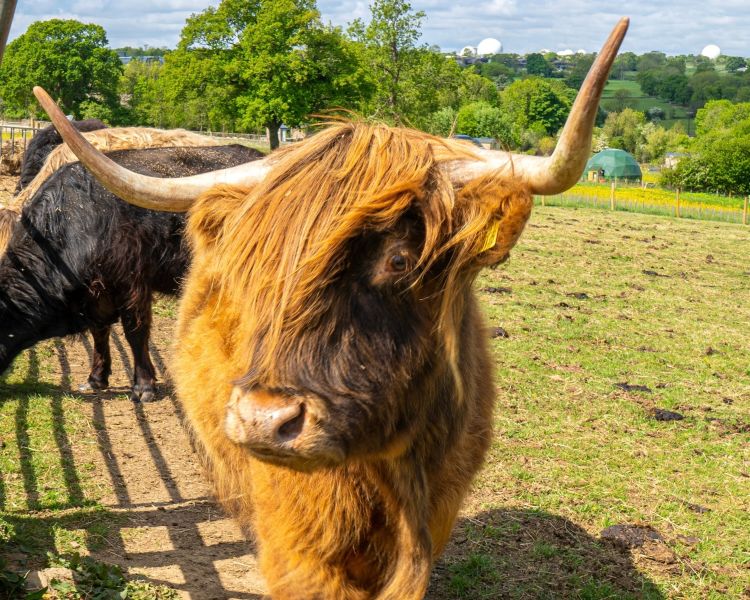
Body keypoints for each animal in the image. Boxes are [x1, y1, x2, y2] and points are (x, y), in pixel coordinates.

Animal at [0, 144, 264, 402]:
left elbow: (135, 331)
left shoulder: (131, 284)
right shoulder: (97, 294)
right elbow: (100, 332)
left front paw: (143, 385)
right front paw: (96, 378)